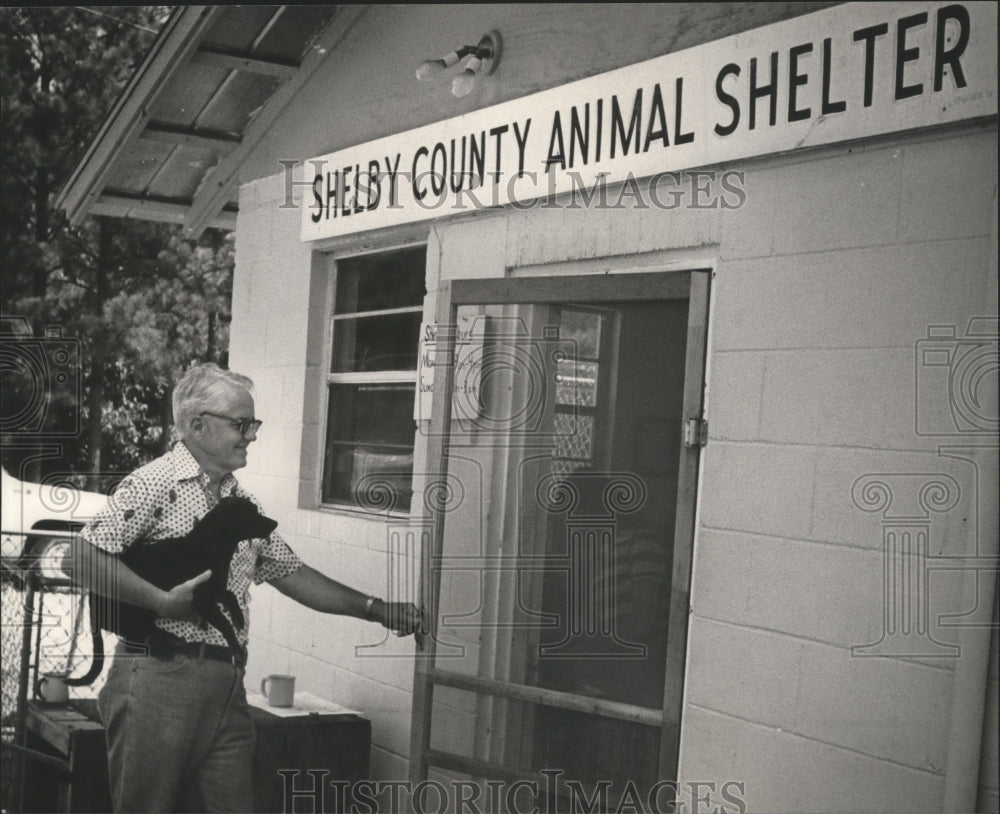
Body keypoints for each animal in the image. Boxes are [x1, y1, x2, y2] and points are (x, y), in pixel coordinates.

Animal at [66, 498, 278, 688]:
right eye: (251, 512)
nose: (275, 523)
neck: (208, 547)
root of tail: (92, 601)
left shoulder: (216, 590)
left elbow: (231, 597)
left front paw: (238, 617)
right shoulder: (202, 599)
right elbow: (224, 624)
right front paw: (236, 648)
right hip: (136, 609)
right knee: (135, 641)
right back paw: (165, 647)